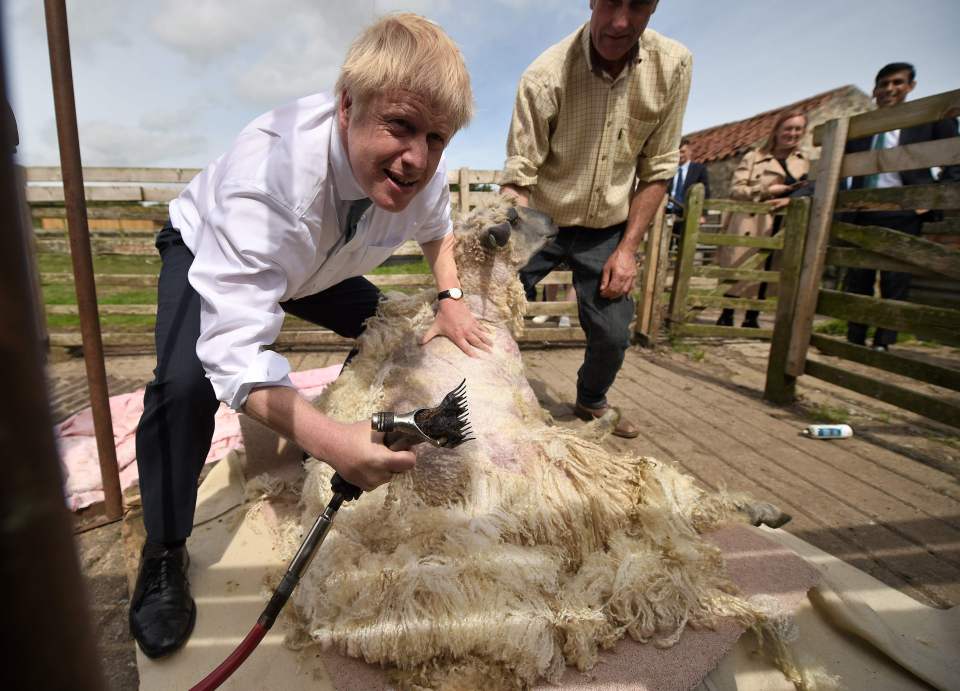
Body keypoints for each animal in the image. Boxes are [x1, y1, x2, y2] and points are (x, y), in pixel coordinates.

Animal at [284, 197, 804, 688]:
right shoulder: (536, 420)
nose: (556, 220)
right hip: (563, 478)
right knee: (668, 500)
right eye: (513, 218)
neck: (477, 308)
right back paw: (761, 511)